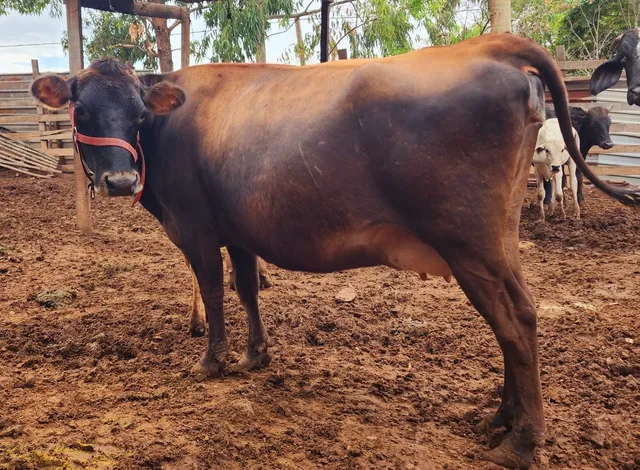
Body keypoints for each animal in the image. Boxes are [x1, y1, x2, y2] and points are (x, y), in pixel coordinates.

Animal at [31, 33, 640, 468]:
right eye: (81, 111)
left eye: (137, 113)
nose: (119, 180)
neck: (169, 128)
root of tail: (486, 46)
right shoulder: (240, 230)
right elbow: (246, 287)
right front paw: (256, 355)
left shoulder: (197, 229)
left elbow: (214, 290)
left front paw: (212, 361)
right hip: (498, 240)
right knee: (518, 318)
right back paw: (499, 420)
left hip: (471, 242)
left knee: (513, 320)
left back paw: (521, 442)